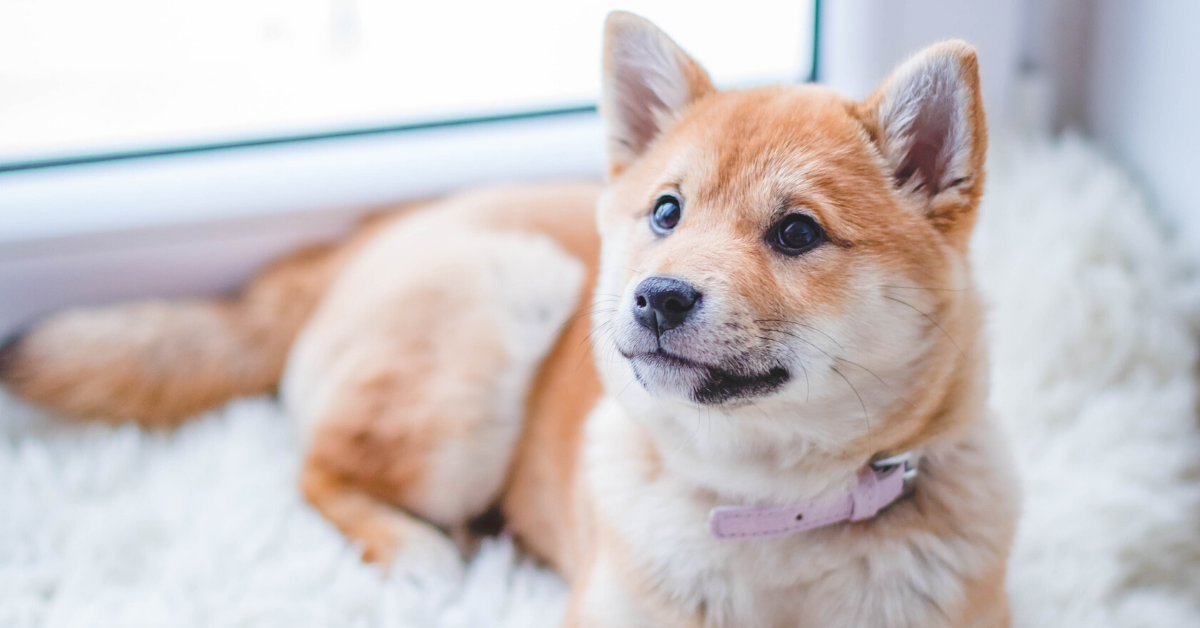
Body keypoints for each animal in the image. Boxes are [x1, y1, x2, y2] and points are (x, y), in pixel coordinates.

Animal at [2, 11, 1012, 628]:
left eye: (798, 232)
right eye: (667, 212)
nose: (658, 296)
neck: (772, 516)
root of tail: (365, 235)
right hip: (493, 327)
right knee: (319, 470)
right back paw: (420, 551)